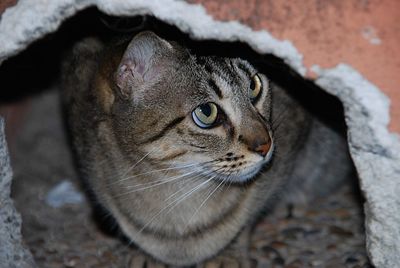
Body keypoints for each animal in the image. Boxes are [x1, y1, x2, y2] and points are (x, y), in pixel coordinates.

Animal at [61, 30, 350, 266]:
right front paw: (143, 253)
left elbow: (248, 215)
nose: (266, 146)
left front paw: (227, 254)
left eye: (255, 85)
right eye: (206, 112)